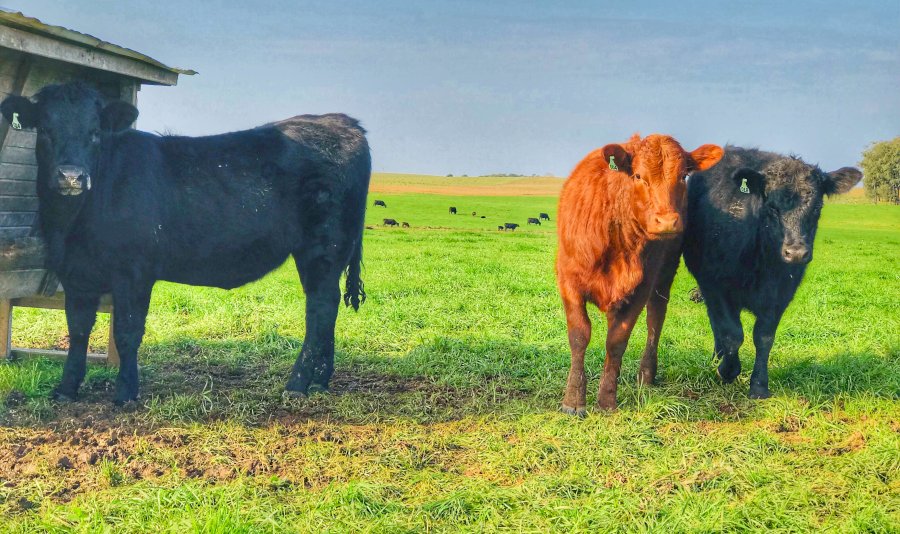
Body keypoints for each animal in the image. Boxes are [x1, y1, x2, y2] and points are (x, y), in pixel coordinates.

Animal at [0, 81, 370, 404]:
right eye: (45, 130)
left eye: (95, 132)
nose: (72, 177)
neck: (72, 224)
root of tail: (340, 121)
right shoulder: (75, 272)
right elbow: (78, 331)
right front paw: (66, 389)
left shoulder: (134, 271)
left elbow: (127, 331)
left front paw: (126, 393)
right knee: (327, 307)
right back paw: (320, 381)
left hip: (323, 247)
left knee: (319, 308)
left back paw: (297, 384)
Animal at [556, 134, 724, 414]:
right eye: (637, 175)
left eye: (683, 176)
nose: (667, 222)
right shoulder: (569, 280)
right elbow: (579, 335)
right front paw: (573, 400)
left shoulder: (641, 287)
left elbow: (617, 341)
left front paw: (607, 400)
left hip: (664, 276)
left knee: (655, 319)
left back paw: (646, 374)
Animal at [684, 149, 864, 400]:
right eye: (771, 207)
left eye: (817, 207)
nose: (796, 253)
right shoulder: (716, 286)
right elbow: (732, 334)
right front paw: (727, 370)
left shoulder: (780, 295)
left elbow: (764, 337)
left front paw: (759, 385)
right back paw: (717, 358)